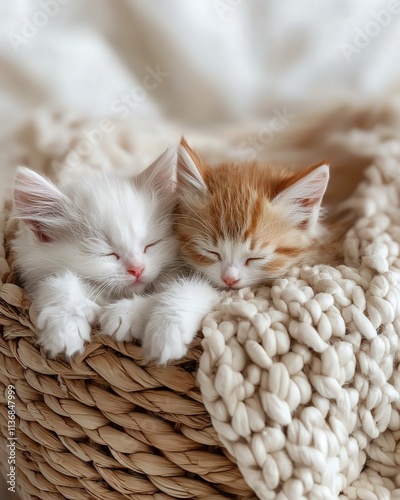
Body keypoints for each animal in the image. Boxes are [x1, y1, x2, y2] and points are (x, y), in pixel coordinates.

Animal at [11, 148, 177, 360]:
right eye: (107, 253)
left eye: (150, 245)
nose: (137, 269)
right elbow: (59, 281)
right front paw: (65, 326)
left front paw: (127, 315)